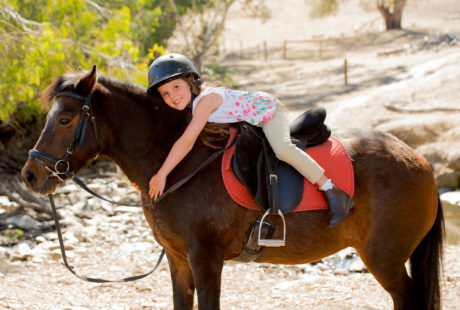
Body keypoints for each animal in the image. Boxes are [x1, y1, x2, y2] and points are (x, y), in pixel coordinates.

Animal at [20, 68, 442, 310]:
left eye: (65, 119)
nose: (30, 175)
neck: (182, 165)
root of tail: (420, 161)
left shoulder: (206, 258)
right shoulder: (179, 260)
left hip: (385, 260)